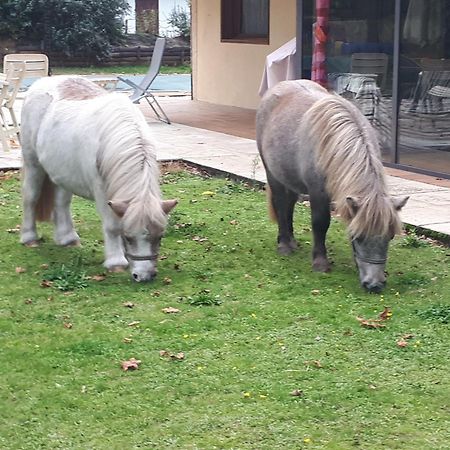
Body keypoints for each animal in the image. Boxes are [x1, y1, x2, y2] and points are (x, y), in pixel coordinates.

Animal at [20, 77, 178, 282]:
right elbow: (112, 226)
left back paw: (68, 239)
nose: (144, 276)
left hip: (62, 172)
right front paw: (116, 263)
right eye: (128, 237)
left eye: (159, 237)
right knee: (30, 198)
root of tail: (40, 82)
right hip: (33, 165)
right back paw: (29, 238)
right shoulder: (103, 192)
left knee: (61, 203)